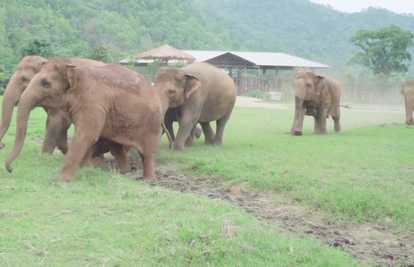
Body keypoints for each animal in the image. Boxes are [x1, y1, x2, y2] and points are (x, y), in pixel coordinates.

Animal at [4, 57, 167, 181]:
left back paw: (148, 179)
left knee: (146, 153)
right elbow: (86, 135)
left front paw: (62, 179)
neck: (75, 68)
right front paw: (88, 167)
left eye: (45, 83)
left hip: (152, 123)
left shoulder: (94, 104)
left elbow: (85, 134)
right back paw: (124, 170)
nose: (11, 169)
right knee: (116, 145)